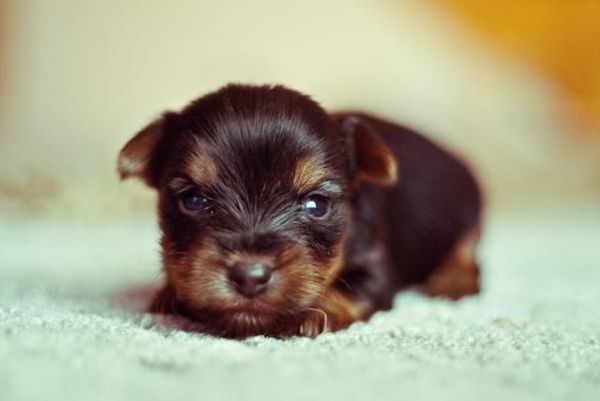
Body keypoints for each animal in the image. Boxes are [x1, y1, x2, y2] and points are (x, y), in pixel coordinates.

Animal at [117, 84, 482, 338]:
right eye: (193, 200)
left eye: (315, 204)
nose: (250, 276)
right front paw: (169, 295)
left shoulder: (376, 265)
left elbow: (354, 290)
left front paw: (311, 313)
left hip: (469, 206)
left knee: (467, 245)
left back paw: (454, 279)